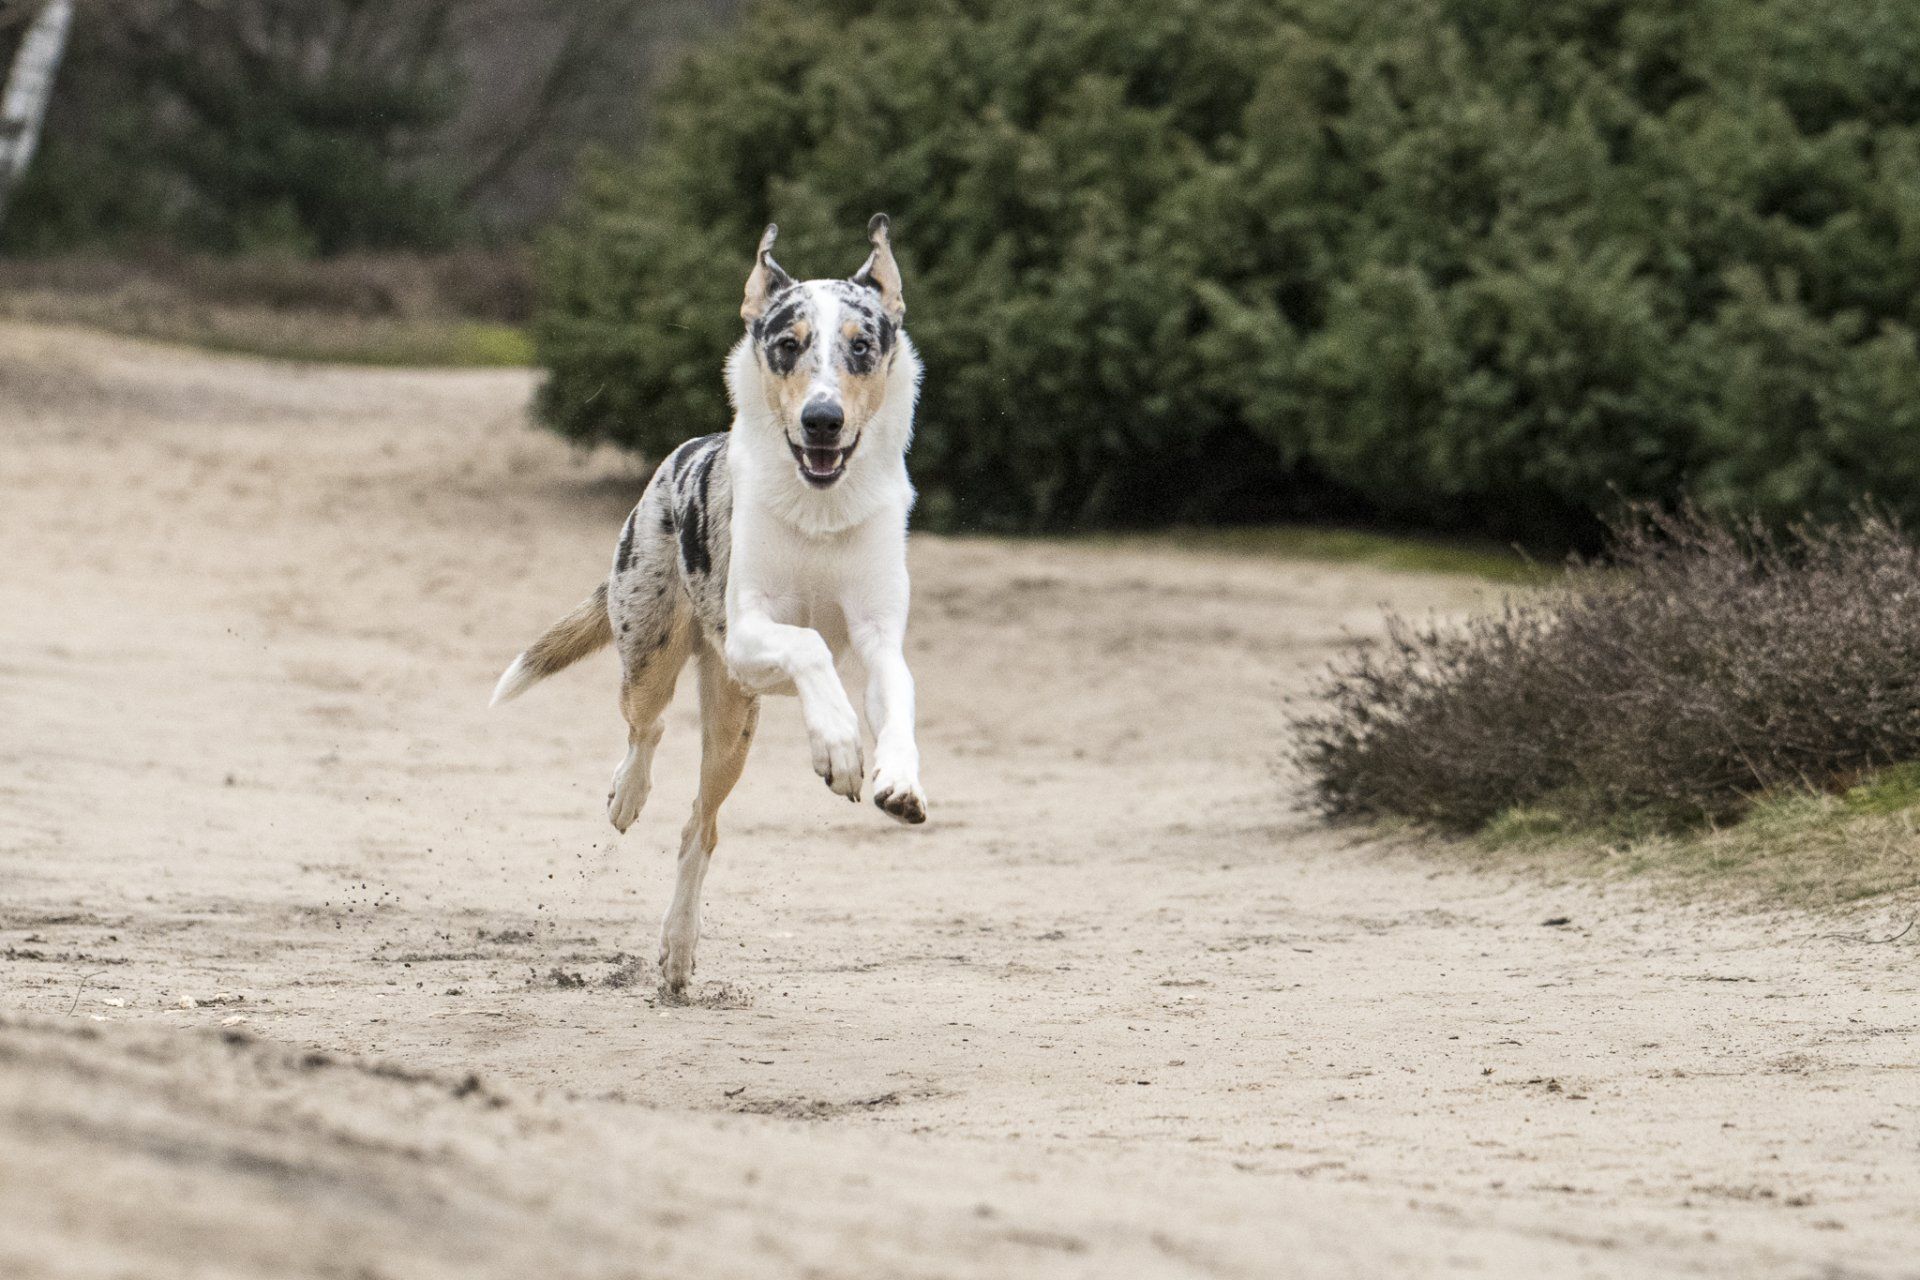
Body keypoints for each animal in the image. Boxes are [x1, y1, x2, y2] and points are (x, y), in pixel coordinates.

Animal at [491, 214, 927, 995]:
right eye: (788, 345)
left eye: (861, 346)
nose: (822, 419)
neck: (819, 508)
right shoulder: (749, 630)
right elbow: (810, 646)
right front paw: (840, 743)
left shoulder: (879, 636)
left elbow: (897, 695)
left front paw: (896, 777)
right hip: (655, 648)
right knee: (648, 725)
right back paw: (626, 794)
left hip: (732, 727)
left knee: (701, 825)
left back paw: (678, 950)